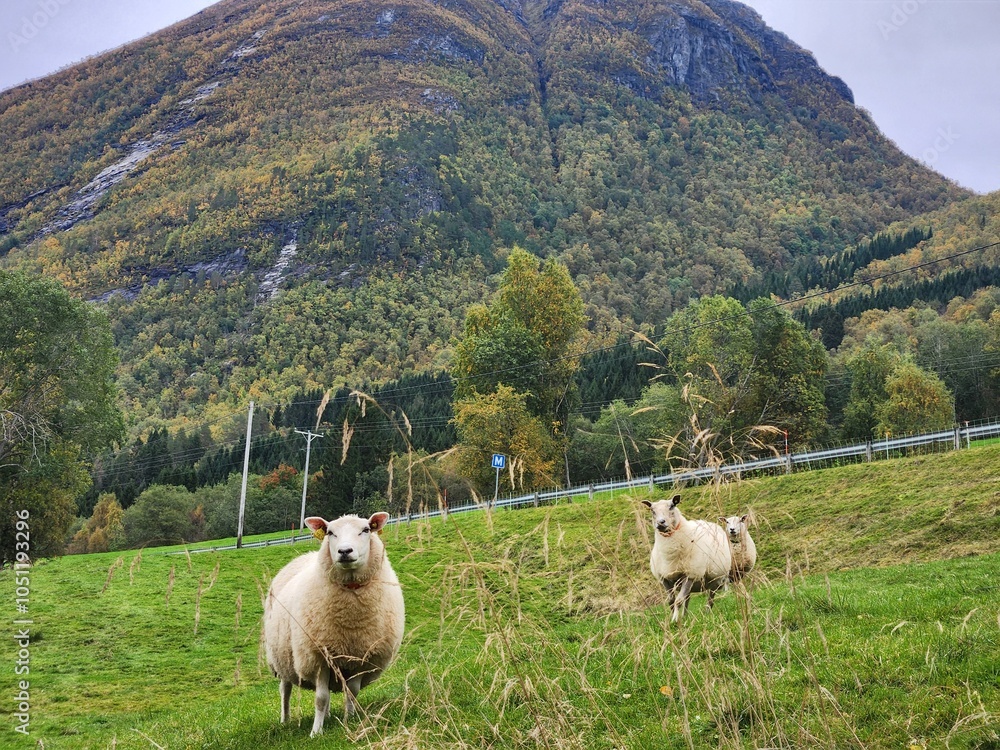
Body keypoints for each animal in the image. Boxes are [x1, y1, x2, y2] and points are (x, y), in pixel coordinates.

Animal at [263, 512, 405, 736]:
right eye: (330, 532)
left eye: (366, 529)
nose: (345, 551)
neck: (351, 620)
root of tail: (305, 555)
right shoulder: (320, 657)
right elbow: (320, 698)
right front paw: (316, 732)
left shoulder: (359, 656)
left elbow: (352, 692)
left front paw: (350, 720)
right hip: (282, 657)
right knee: (285, 689)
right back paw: (285, 720)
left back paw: (328, 716)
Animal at [642, 494, 732, 623]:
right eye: (652, 510)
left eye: (672, 506)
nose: (661, 523)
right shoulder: (664, 578)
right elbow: (671, 601)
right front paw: (674, 618)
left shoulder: (690, 575)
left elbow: (678, 601)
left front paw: (675, 620)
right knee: (687, 598)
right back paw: (685, 616)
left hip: (715, 580)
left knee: (710, 598)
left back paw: (707, 613)